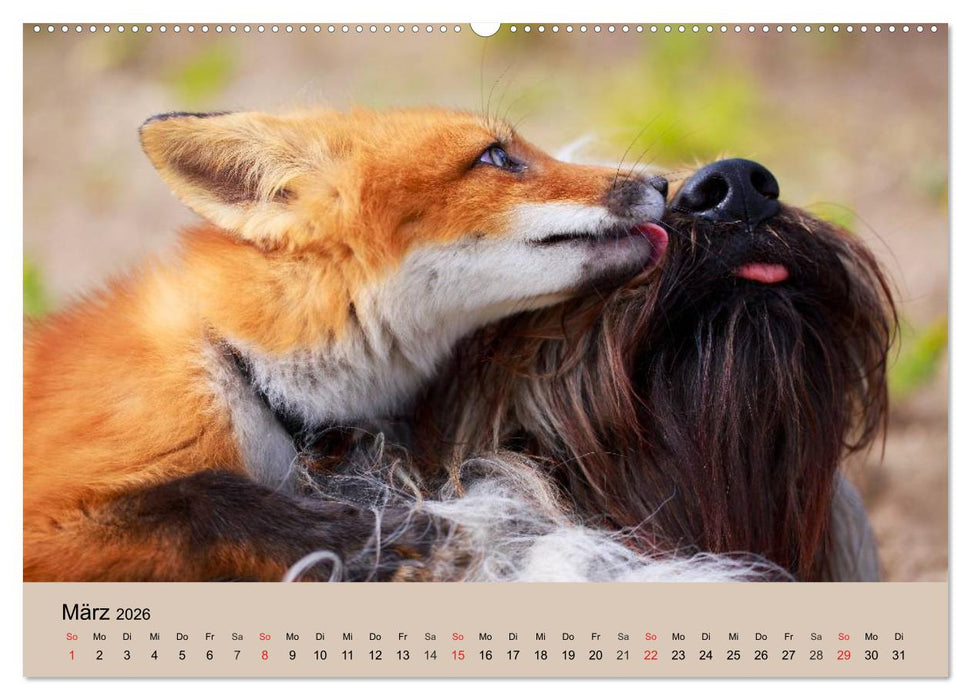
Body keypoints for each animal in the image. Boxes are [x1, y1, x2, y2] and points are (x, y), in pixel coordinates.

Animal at [24, 107, 669, 581]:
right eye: (494, 156)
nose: (663, 181)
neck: (239, 363)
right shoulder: (44, 519)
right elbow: (199, 497)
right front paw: (361, 539)